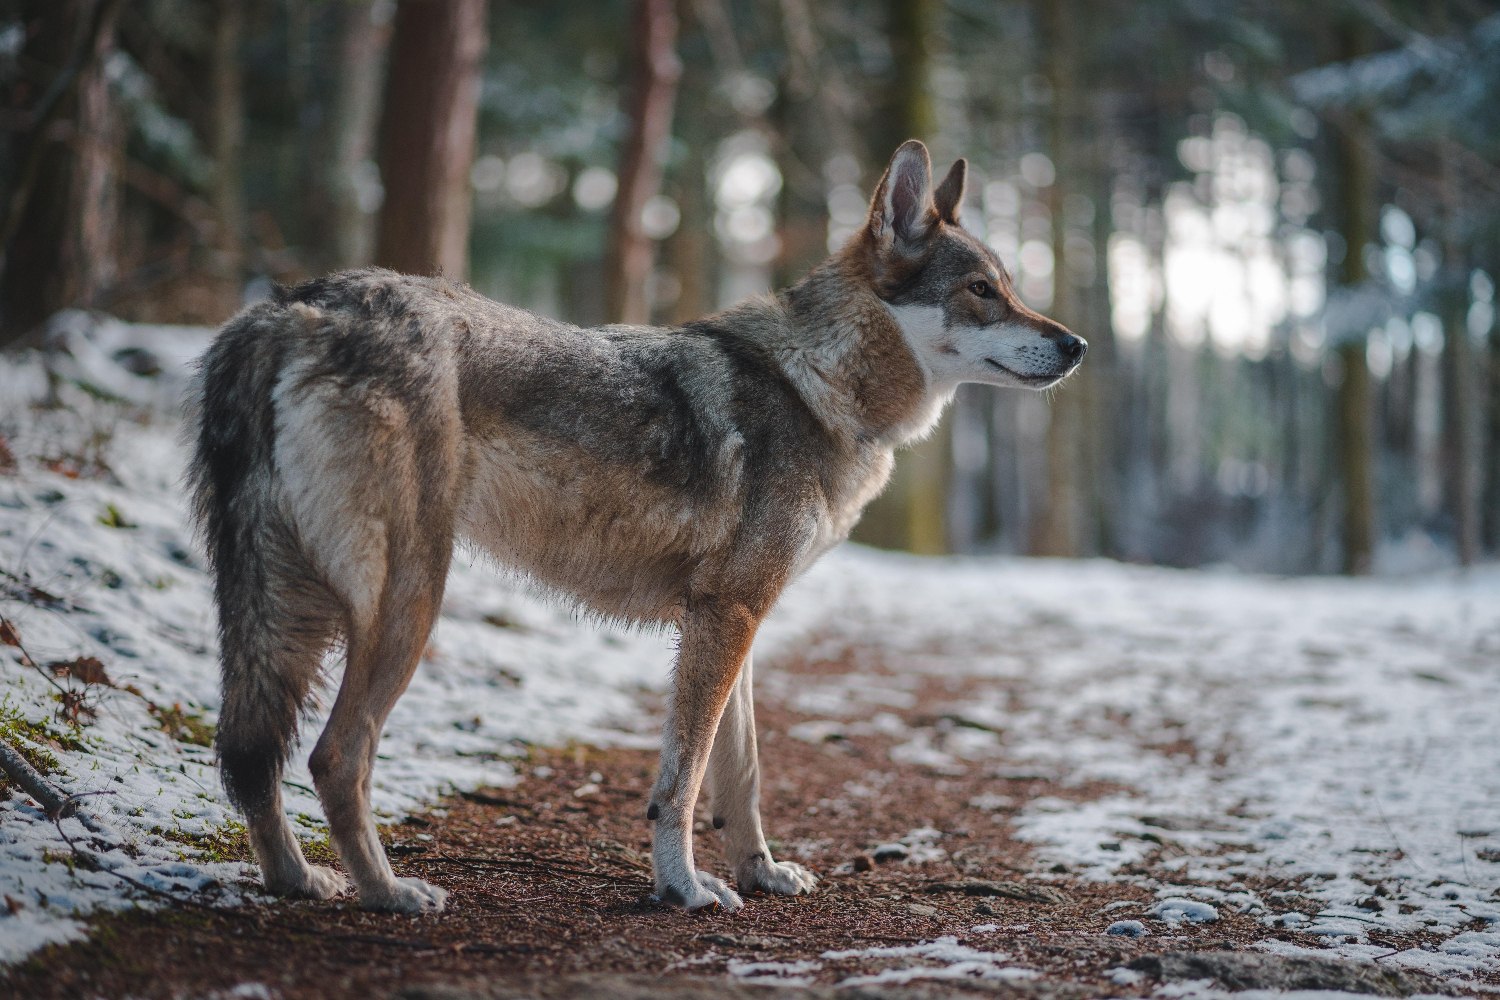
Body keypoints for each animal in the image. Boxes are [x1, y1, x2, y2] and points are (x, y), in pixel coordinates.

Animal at [187, 140, 1086, 917]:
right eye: (982, 290)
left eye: (1010, 286)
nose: (1077, 344)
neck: (819, 385)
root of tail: (292, 305)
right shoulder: (726, 617)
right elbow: (681, 782)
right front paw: (683, 889)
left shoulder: (736, 620)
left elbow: (741, 775)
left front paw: (760, 873)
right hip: (406, 603)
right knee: (334, 757)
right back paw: (389, 892)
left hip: (285, 608)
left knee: (250, 755)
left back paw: (297, 880)